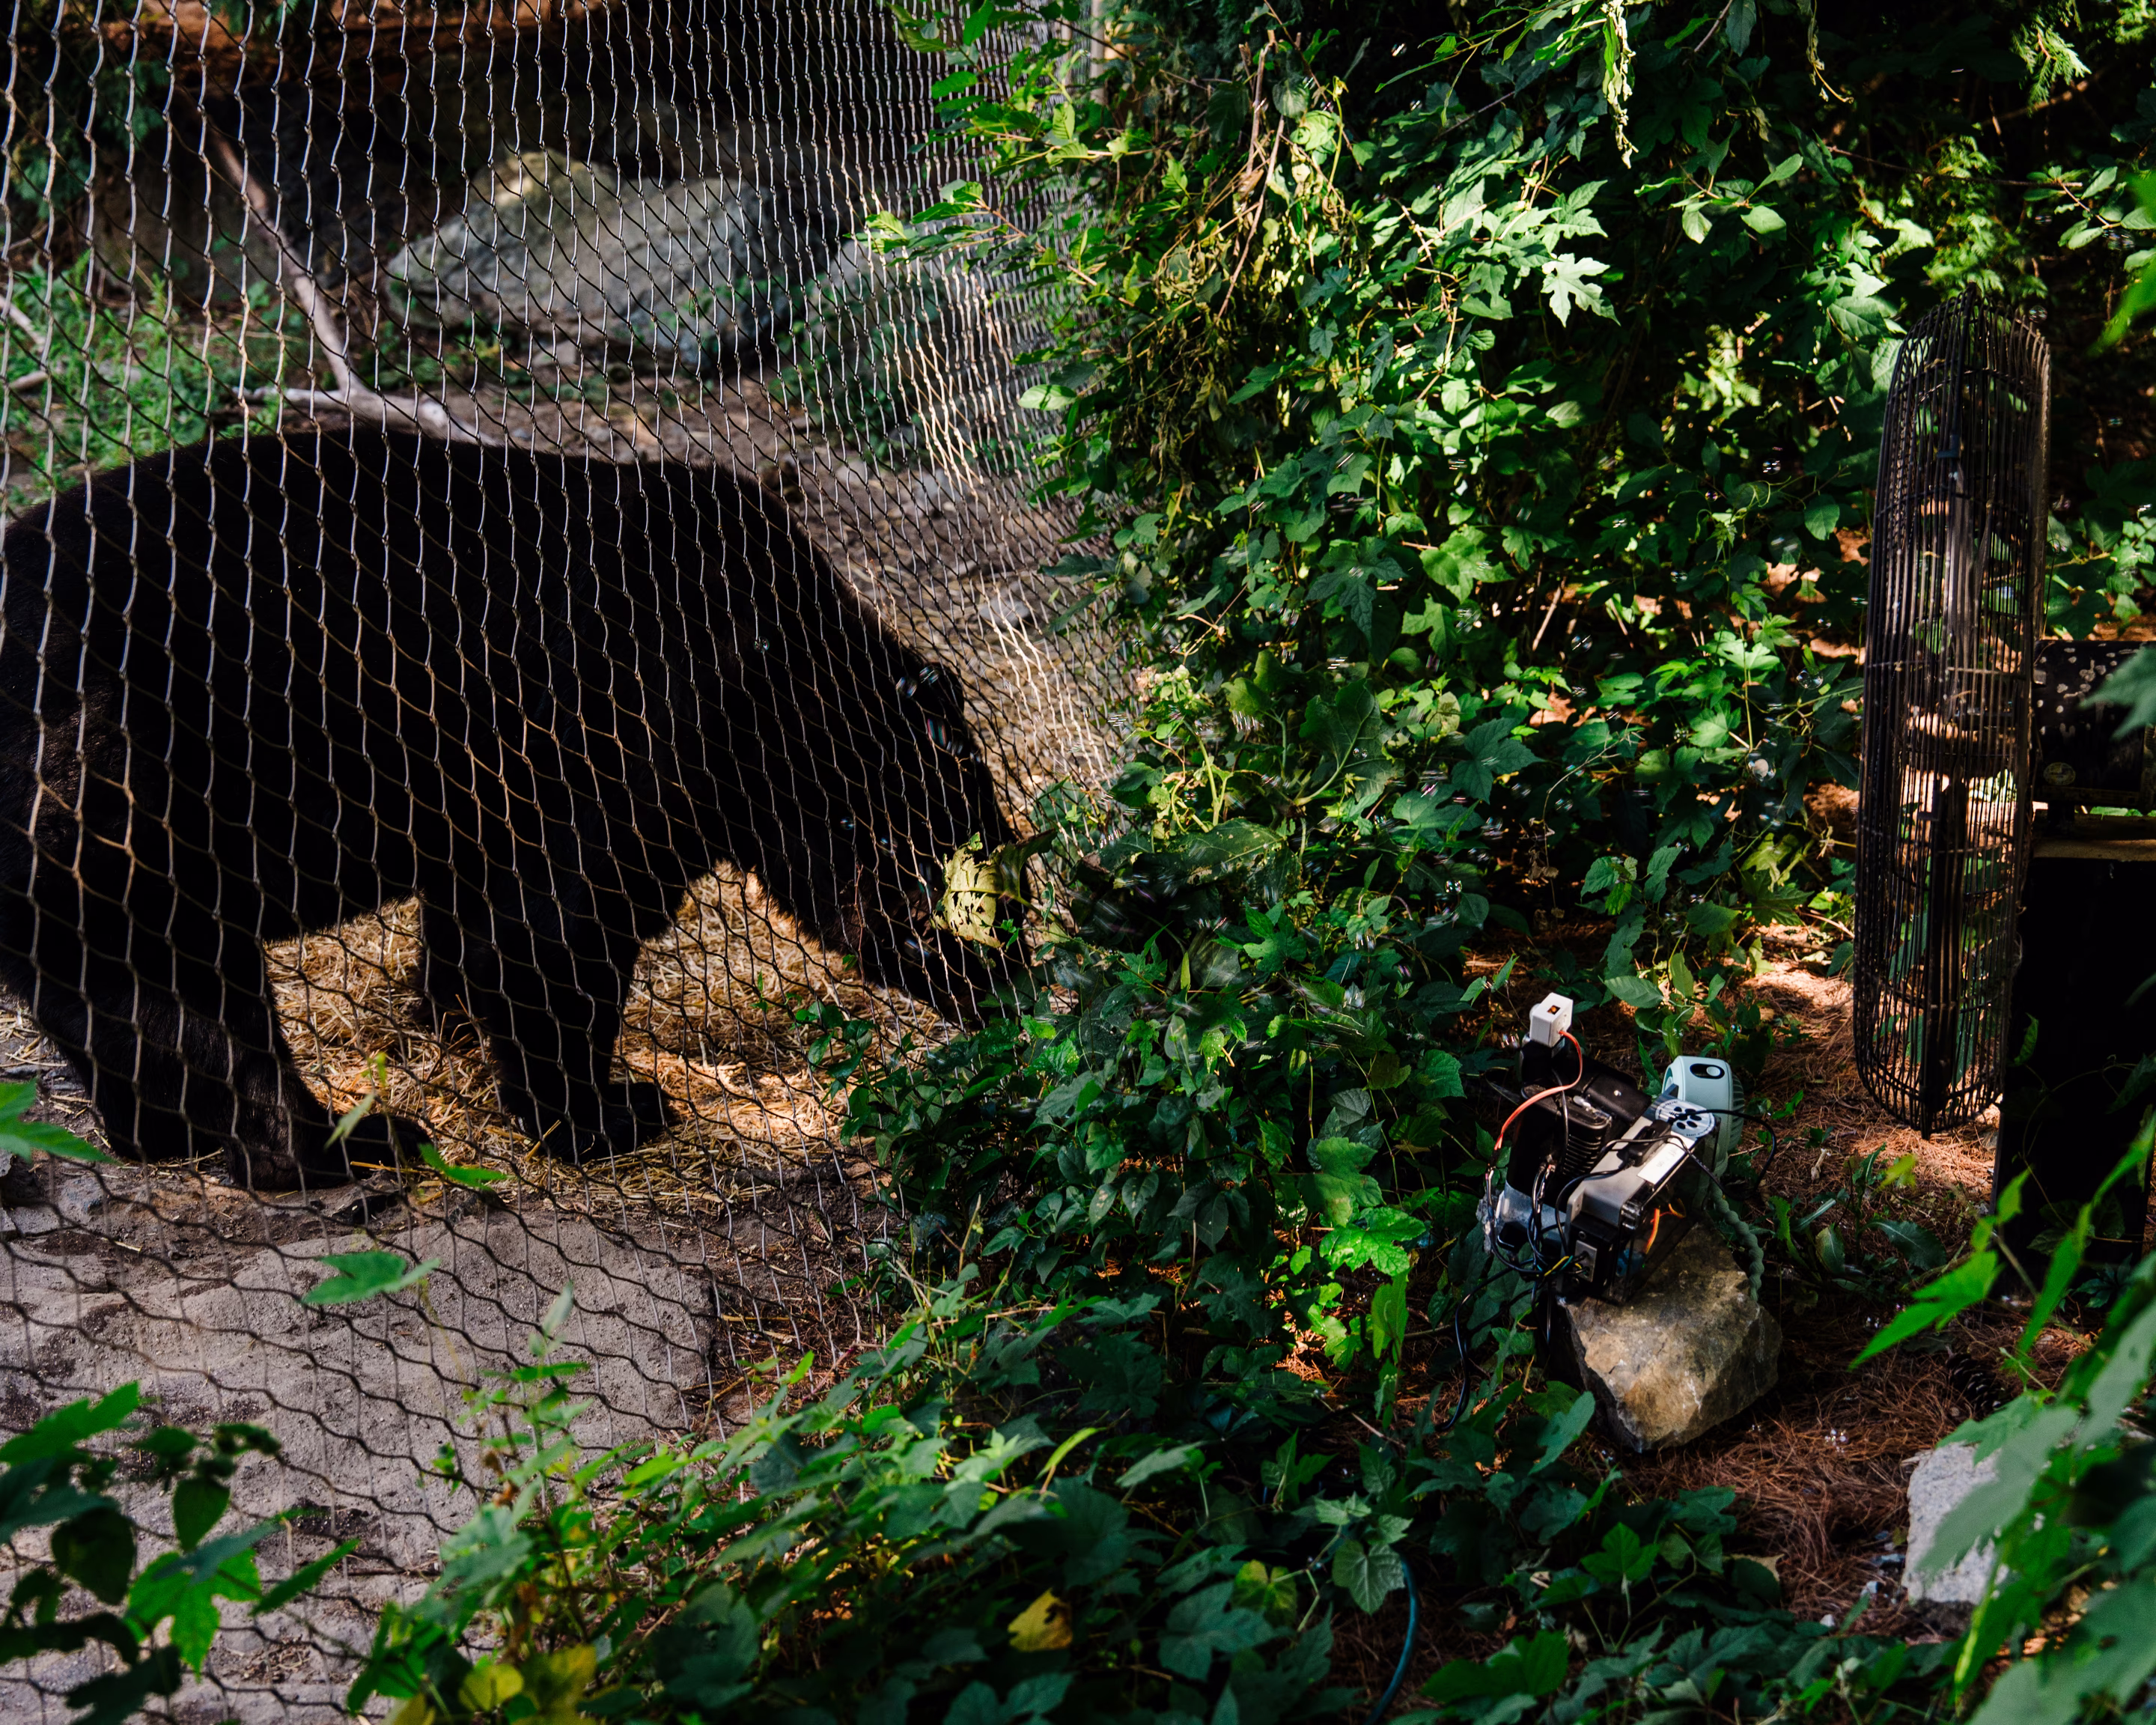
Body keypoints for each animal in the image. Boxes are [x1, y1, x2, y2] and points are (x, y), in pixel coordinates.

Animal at [0, 428, 1018, 1189]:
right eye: (964, 869)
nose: (1009, 974)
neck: (777, 684)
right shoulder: (622, 739)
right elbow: (553, 937)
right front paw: (603, 1115)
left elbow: (475, 920)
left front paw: (449, 1018)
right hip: (129, 800)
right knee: (198, 1003)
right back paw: (350, 1145)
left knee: (125, 1007)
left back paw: (168, 1135)